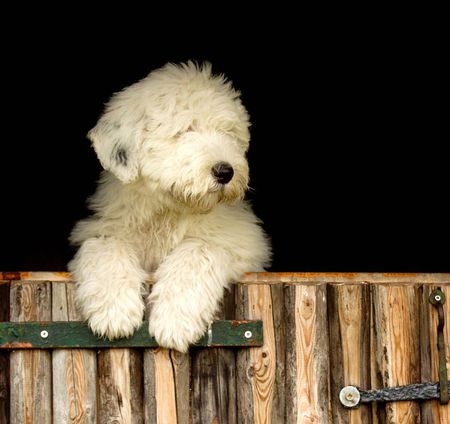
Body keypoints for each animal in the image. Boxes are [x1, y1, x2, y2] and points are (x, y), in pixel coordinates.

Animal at [67, 61, 270, 352]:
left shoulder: (244, 244)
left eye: (228, 133)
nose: (225, 171)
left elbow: (198, 251)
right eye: (184, 130)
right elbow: (105, 247)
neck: (169, 208)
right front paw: (113, 312)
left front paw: (175, 321)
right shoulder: (103, 227)